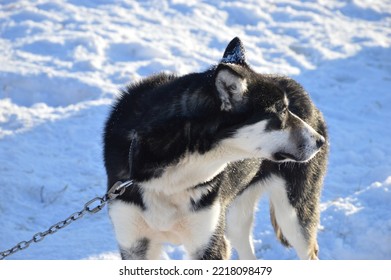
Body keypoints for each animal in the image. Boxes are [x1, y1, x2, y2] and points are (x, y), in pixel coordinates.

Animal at [103, 37, 328, 260]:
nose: (319, 141)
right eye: (281, 110)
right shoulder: (134, 244)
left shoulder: (209, 244)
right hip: (235, 219)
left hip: (292, 215)